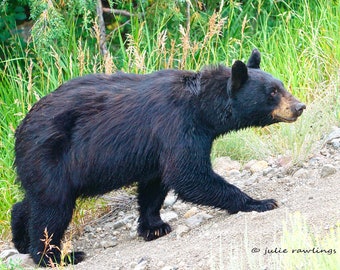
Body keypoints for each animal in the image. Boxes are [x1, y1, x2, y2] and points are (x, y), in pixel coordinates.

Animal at [11, 49, 306, 266]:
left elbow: (155, 184)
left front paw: (154, 226)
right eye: (272, 92)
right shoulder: (177, 126)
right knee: (52, 209)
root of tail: (20, 130)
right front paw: (260, 201)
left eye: (281, 86)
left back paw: (20, 238)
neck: (202, 107)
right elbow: (188, 174)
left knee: (35, 201)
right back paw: (56, 255)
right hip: (50, 156)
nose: (299, 106)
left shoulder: (156, 148)